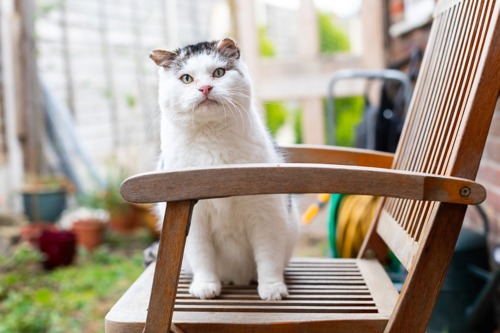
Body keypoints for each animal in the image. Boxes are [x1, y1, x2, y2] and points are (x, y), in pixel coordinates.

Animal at [150, 37, 298, 300]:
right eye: (186, 78)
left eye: (218, 73)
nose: (205, 88)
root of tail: (238, 279)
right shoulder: (195, 220)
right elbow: (202, 256)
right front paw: (206, 286)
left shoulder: (266, 214)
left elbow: (268, 256)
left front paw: (272, 288)